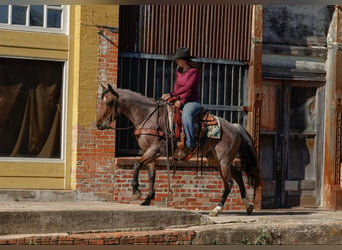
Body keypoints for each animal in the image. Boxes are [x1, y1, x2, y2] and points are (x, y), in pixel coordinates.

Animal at [97, 84, 262, 217]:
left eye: (109, 102)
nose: (98, 125)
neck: (147, 117)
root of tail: (234, 127)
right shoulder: (149, 153)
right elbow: (151, 175)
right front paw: (148, 199)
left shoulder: (155, 150)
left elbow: (137, 164)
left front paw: (136, 192)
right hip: (216, 159)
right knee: (238, 176)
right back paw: (248, 206)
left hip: (223, 160)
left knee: (229, 182)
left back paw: (216, 209)